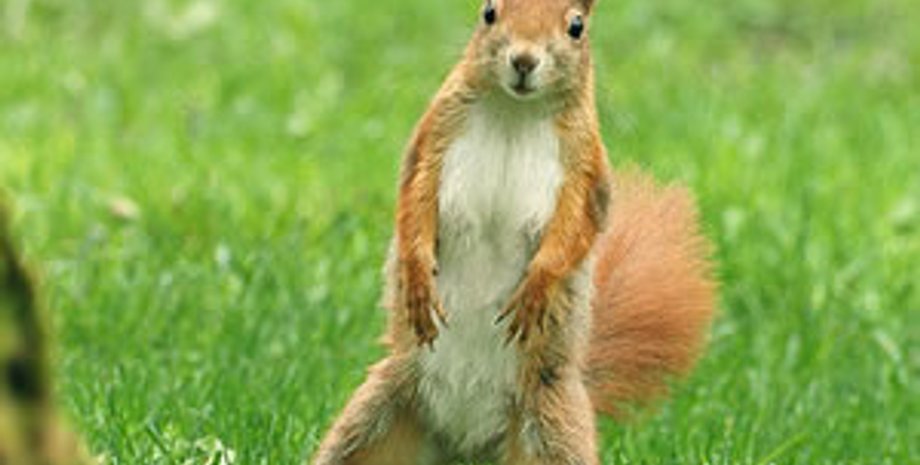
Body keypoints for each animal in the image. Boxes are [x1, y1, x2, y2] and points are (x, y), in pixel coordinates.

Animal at [312, 1, 716, 464]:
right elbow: (414, 200)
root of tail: (466, 445)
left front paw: (538, 286)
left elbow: (575, 230)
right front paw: (416, 279)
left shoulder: (585, 168)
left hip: (551, 427)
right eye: (488, 12)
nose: (523, 60)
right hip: (377, 415)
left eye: (576, 26)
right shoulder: (434, 136)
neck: (515, 112)